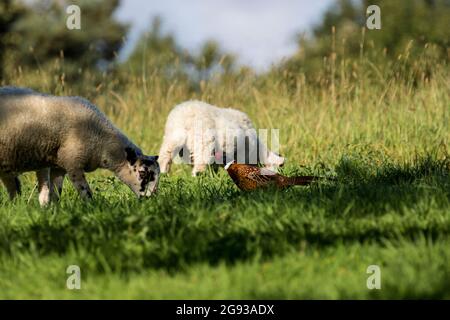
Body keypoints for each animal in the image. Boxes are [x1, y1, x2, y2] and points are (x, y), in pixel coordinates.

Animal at [0, 86, 159, 205]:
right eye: (142, 173)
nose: (151, 200)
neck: (102, 141)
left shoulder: (59, 166)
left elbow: (56, 193)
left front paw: (53, 211)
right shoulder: (73, 163)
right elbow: (85, 192)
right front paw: (92, 209)